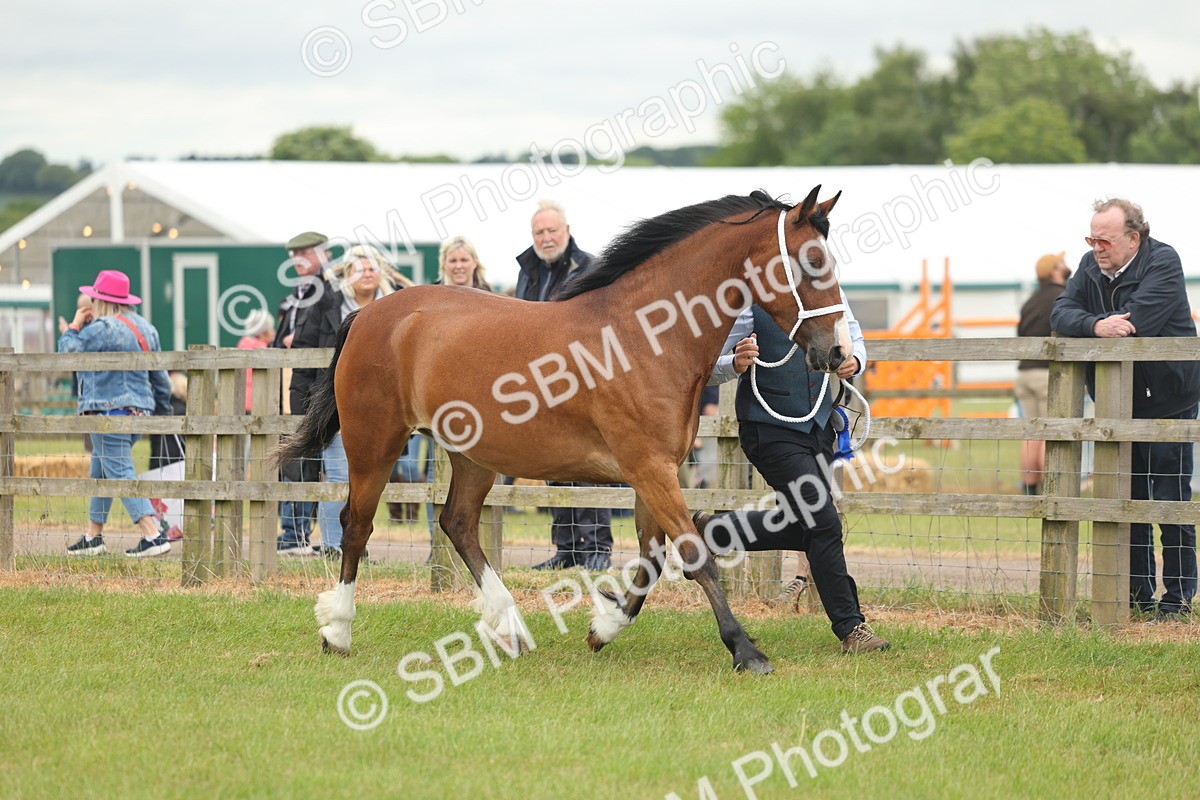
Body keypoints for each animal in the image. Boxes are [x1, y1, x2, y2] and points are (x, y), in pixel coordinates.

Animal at [272, 186, 848, 674]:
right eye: (811, 261)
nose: (837, 353)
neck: (645, 336)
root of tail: (369, 314)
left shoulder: (653, 472)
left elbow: (652, 558)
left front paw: (604, 627)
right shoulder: (650, 469)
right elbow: (693, 555)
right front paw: (746, 651)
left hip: (472, 456)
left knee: (458, 524)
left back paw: (509, 626)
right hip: (375, 442)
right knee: (355, 526)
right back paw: (338, 631)